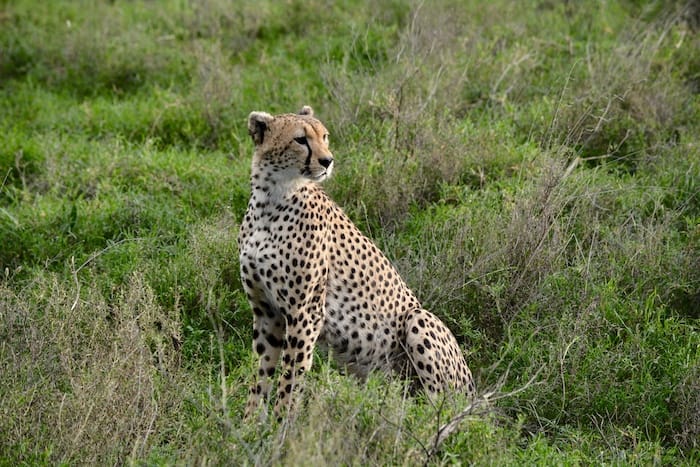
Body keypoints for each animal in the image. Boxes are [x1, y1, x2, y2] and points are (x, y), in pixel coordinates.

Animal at [237, 107, 476, 420]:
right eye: (300, 139)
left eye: (325, 136)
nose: (328, 161)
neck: (272, 198)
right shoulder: (267, 313)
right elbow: (262, 373)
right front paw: (249, 424)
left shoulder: (306, 313)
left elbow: (291, 376)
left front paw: (281, 425)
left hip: (419, 319)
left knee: (441, 410)